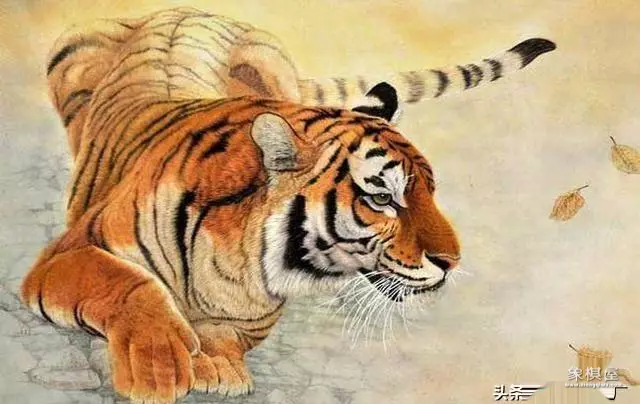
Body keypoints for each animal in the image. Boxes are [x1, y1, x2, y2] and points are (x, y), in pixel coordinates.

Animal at [22, 7, 556, 403]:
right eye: (382, 198)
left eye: (429, 191)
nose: (452, 261)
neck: (236, 257)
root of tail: (195, 11)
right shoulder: (66, 255)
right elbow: (127, 284)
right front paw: (159, 367)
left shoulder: (254, 312)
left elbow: (225, 332)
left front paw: (218, 368)